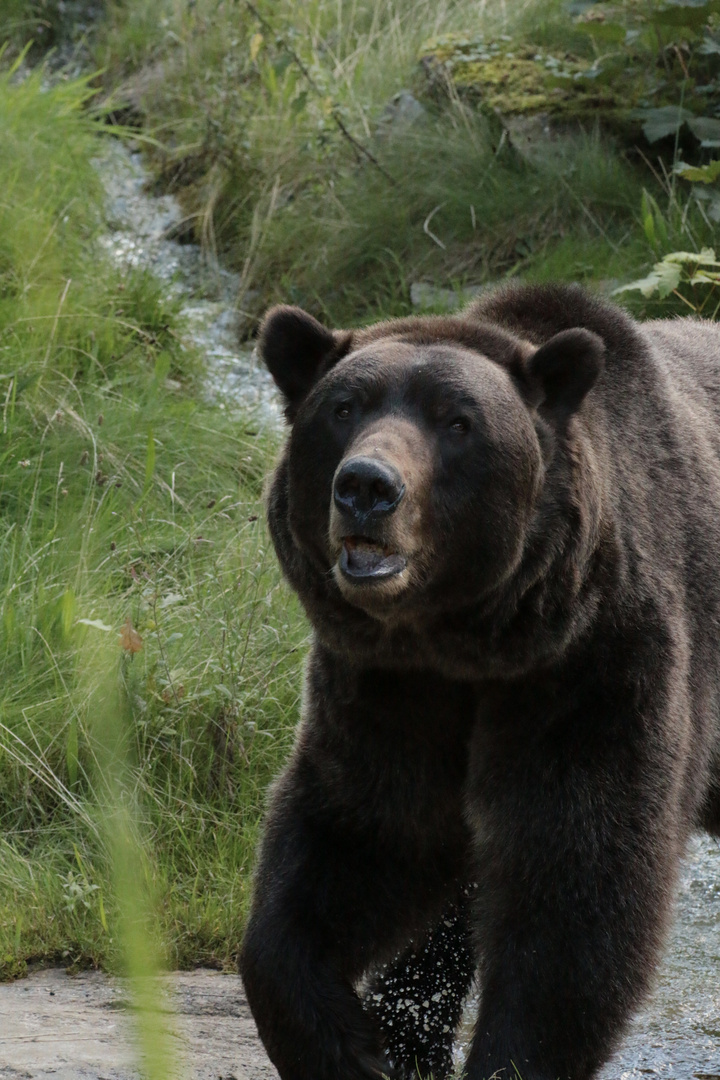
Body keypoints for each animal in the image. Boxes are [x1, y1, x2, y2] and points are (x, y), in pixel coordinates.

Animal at [239, 285, 720, 1080]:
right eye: (344, 407)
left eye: (457, 421)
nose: (367, 485)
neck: (468, 642)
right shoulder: (390, 690)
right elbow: (361, 836)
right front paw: (352, 1044)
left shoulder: (596, 667)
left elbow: (578, 886)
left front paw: (504, 1057)